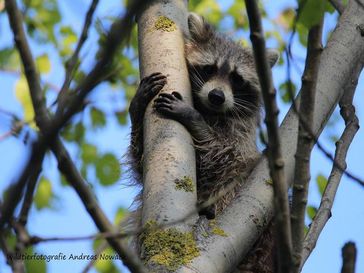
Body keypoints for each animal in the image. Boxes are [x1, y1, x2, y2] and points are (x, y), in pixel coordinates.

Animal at [128, 12, 278, 272]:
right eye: (209, 69)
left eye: (236, 79)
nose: (217, 96)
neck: (210, 111)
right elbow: (139, 162)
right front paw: (136, 109)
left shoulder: (239, 138)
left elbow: (225, 158)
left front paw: (195, 120)